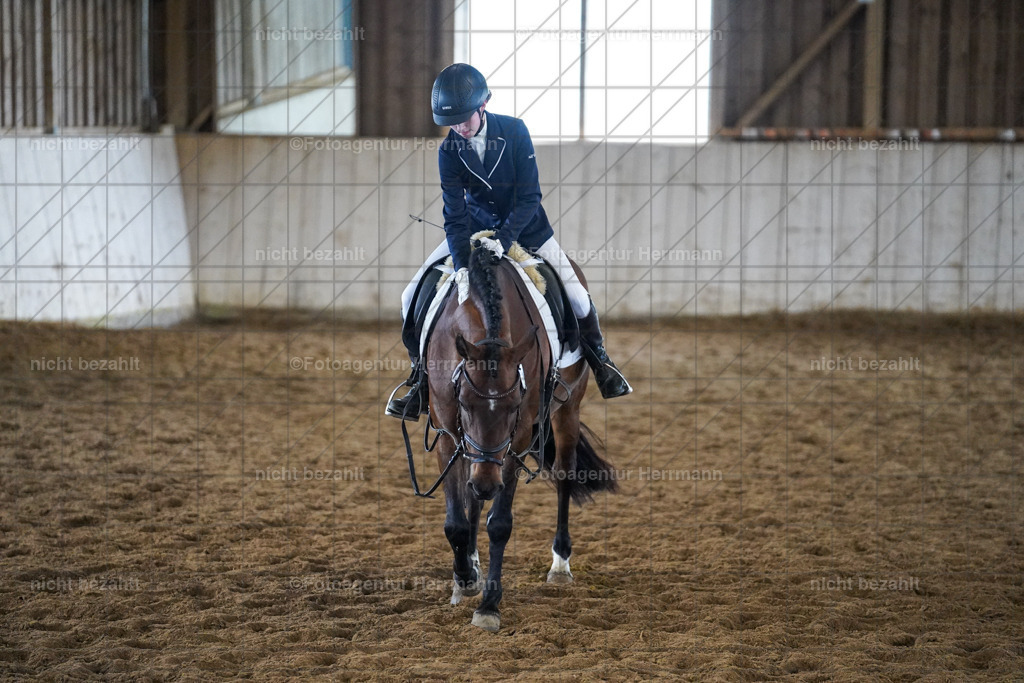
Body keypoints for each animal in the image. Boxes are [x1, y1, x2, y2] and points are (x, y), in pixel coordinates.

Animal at [417, 242, 618, 632]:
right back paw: (472, 560)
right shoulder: (450, 434)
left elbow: (500, 524)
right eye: (464, 402)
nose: (487, 482)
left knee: (565, 476)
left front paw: (489, 606)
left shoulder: (519, 440)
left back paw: (560, 565)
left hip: (568, 410)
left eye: (514, 406)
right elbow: (455, 521)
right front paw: (465, 578)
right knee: (473, 497)